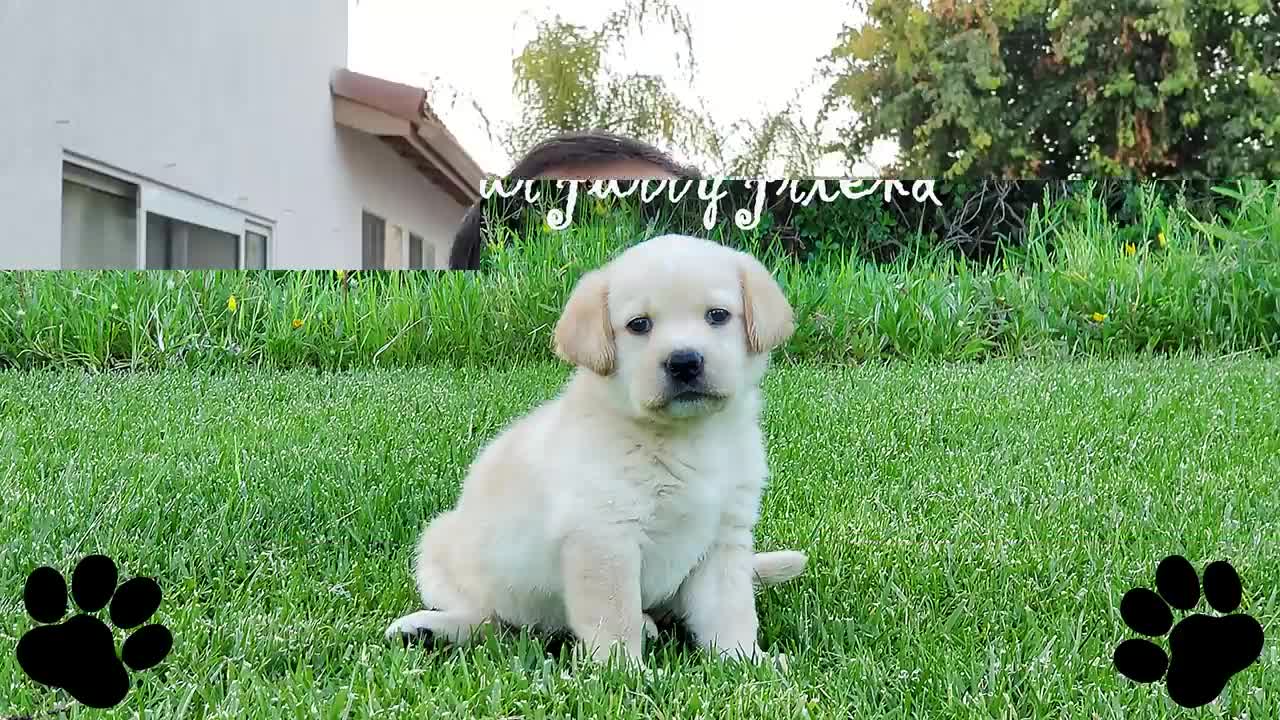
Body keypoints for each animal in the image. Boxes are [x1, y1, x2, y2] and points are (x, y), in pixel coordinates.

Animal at [384, 233, 803, 666]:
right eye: (639, 325)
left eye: (717, 315)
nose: (684, 361)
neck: (685, 437)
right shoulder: (604, 537)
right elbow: (614, 617)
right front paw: (626, 671)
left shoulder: (724, 539)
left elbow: (730, 609)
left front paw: (746, 660)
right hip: (439, 545)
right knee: (488, 618)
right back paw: (427, 629)